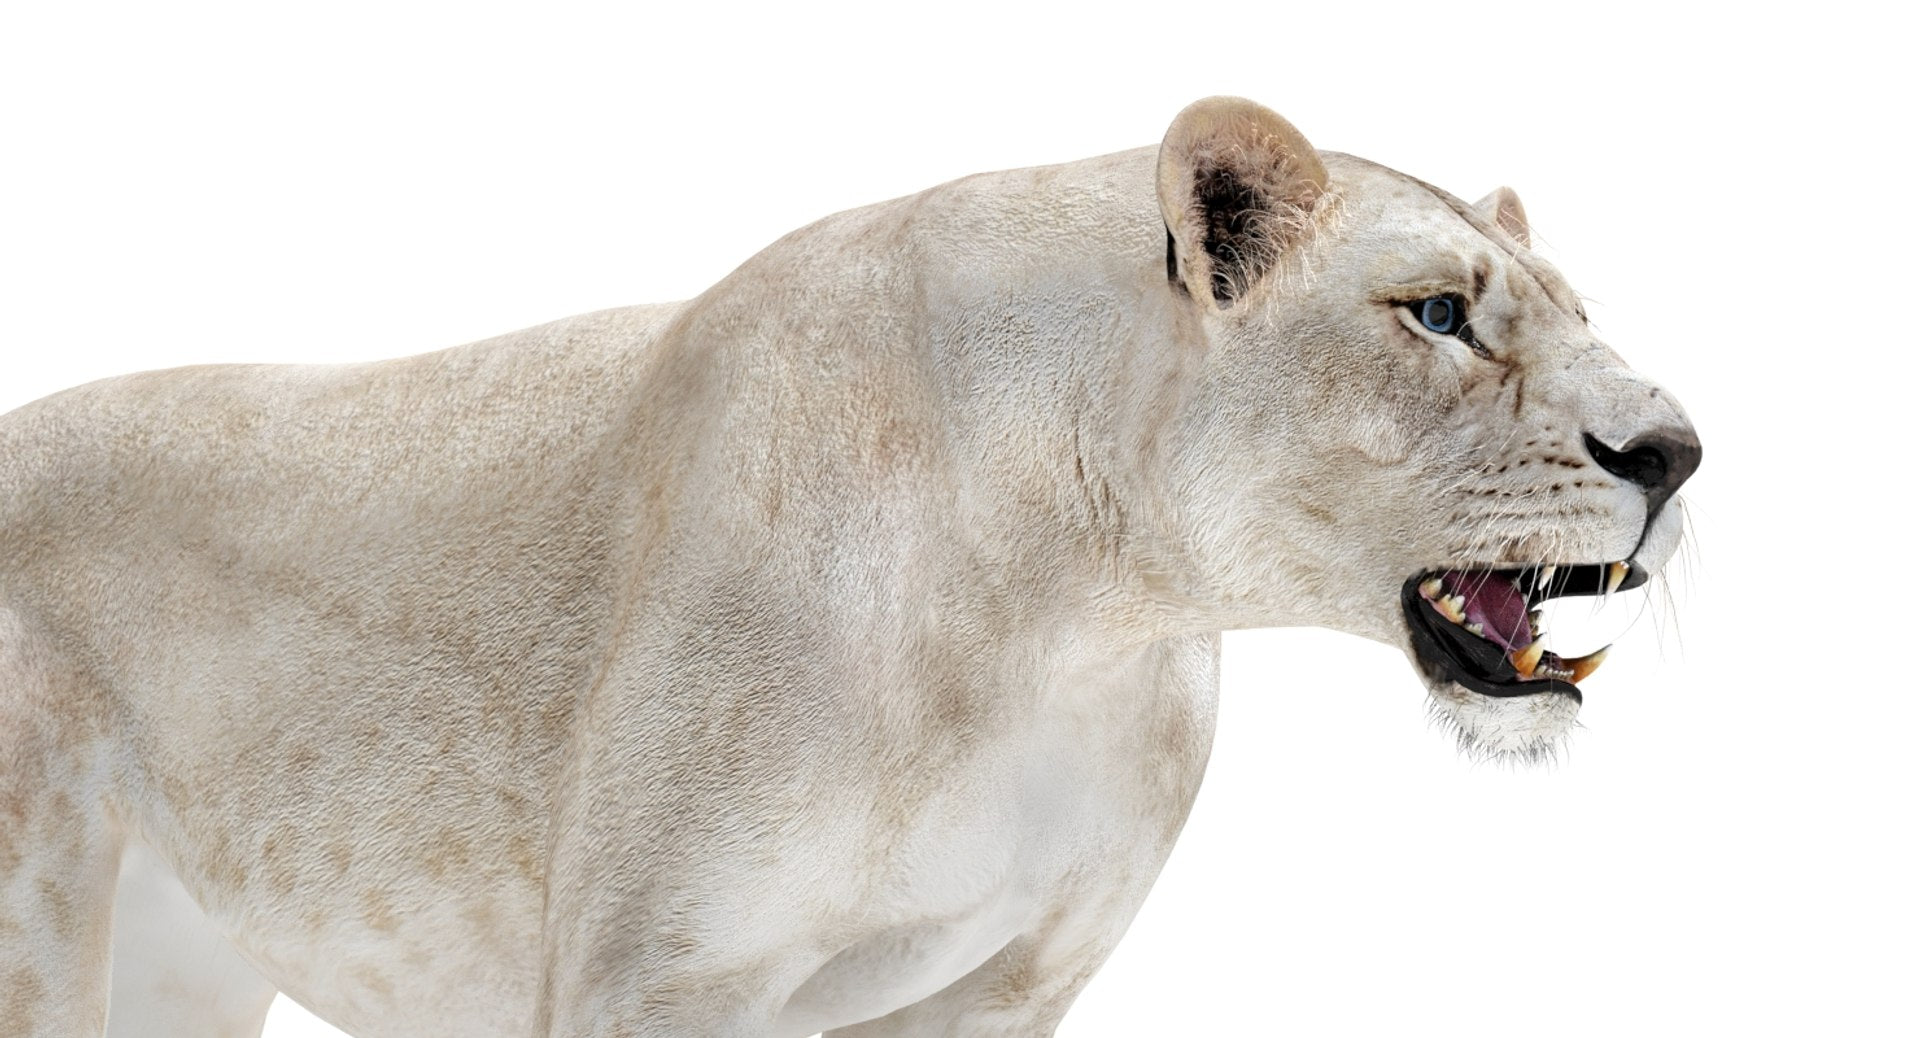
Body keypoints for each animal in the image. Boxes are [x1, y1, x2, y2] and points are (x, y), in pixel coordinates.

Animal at [0, 96, 1698, 1037]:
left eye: (1579, 308)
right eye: (1438, 315)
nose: (1676, 452)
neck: (1073, 606)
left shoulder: (1002, 990)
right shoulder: (655, 982)